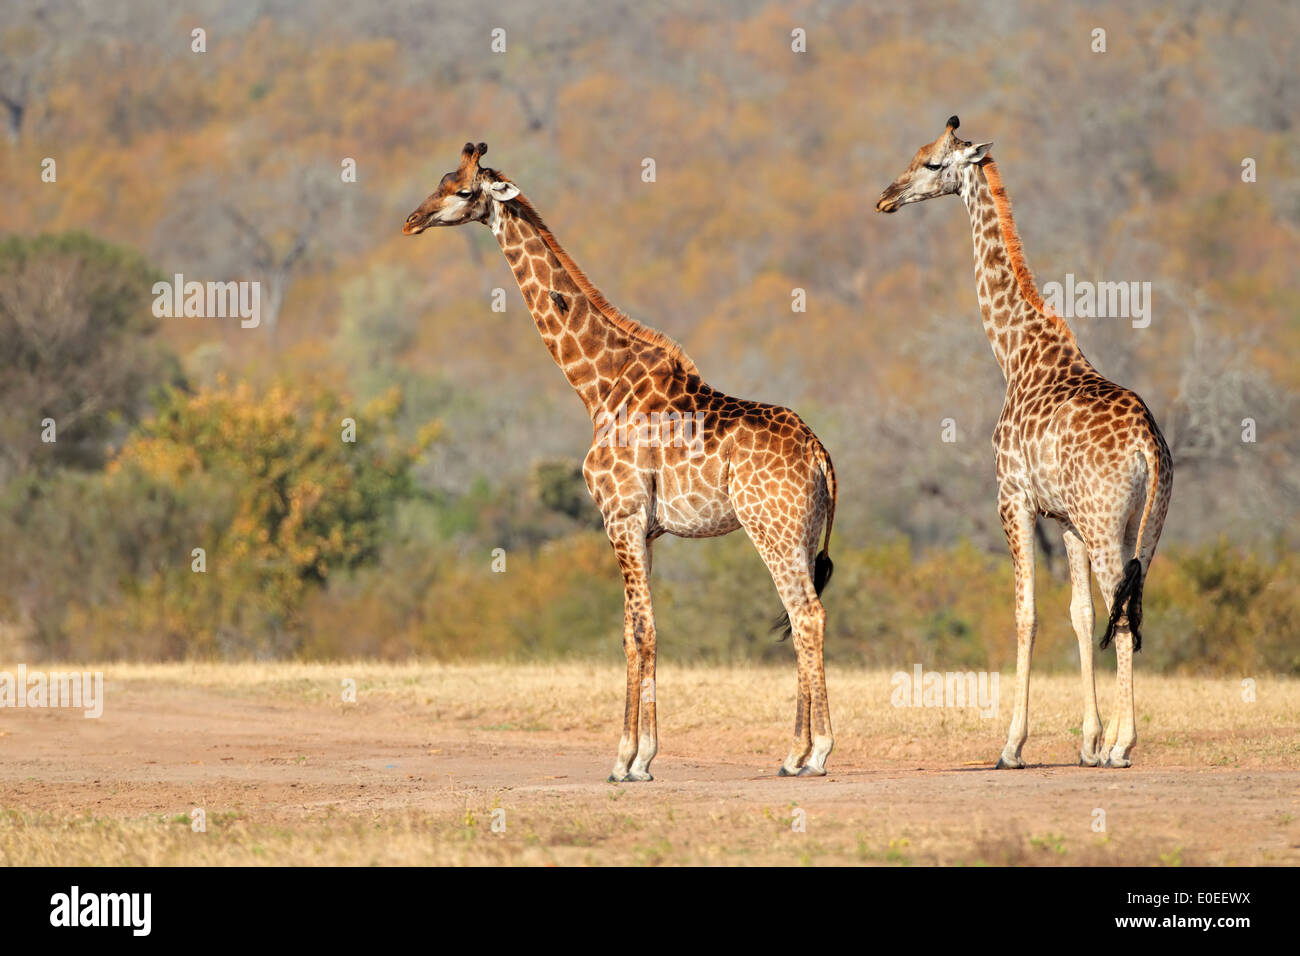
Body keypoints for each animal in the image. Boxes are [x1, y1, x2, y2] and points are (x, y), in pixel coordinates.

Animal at [400, 143, 837, 785]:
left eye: (460, 190)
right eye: (440, 179)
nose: (412, 221)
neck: (597, 387)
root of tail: (821, 455)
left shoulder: (620, 516)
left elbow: (639, 630)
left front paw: (631, 760)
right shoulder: (645, 529)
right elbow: (636, 632)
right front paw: (636, 756)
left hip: (770, 527)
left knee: (805, 615)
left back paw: (817, 752)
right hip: (800, 531)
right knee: (802, 613)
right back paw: (794, 755)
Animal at [878, 115, 1175, 770]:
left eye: (932, 163)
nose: (886, 196)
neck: (1015, 353)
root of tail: (1148, 444)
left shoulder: (1012, 498)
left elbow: (1027, 613)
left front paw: (1014, 745)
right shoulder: (1063, 517)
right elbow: (1079, 613)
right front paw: (1087, 742)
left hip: (1106, 520)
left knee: (1122, 608)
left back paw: (1125, 746)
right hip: (1140, 520)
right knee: (1130, 602)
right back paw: (1113, 743)